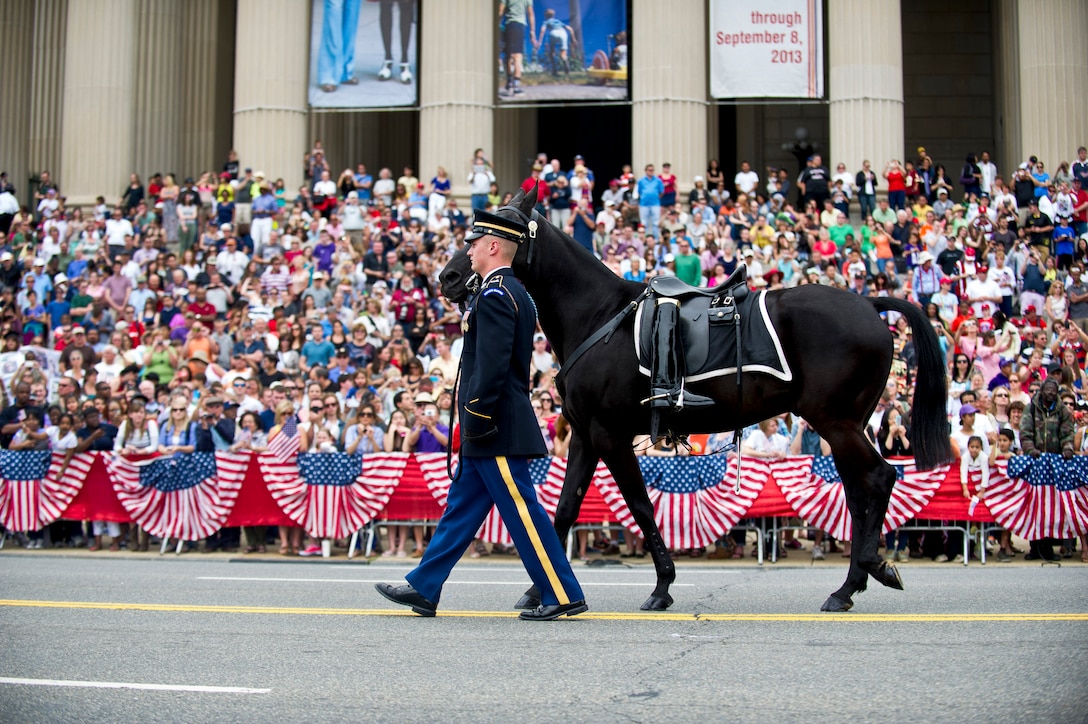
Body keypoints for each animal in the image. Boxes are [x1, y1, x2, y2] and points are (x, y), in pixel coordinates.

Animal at [437, 186, 948, 609]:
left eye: (490, 233)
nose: (449, 276)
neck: (598, 316)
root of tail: (870, 303)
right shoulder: (584, 434)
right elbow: (563, 508)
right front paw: (538, 589)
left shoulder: (610, 434)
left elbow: (640, 505)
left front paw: (662, 585)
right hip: (846, 426)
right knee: (861, 492)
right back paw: (856, 579)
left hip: (836, 423)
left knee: (878, 479)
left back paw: (861, 576)